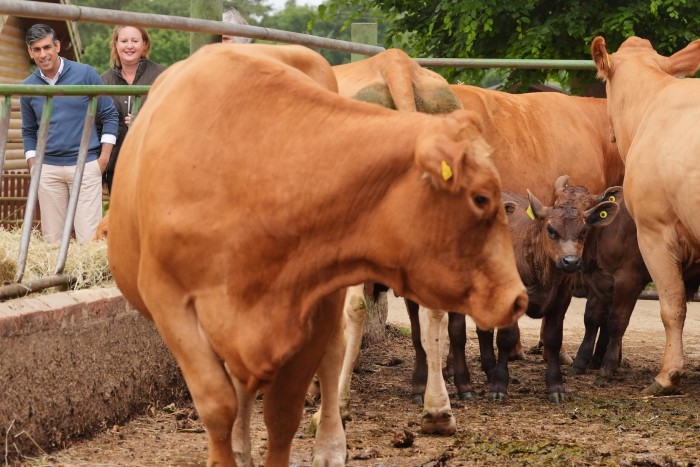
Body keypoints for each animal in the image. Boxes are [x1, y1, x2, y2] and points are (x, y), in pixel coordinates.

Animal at [108, 44, 524, 467]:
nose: (514, 297)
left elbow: (278, 406)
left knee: (344, 334)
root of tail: (396, 63)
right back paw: (435, 411)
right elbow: (221, 398)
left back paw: (334, 425)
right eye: (481, 198)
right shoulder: (173, 303)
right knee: (427, 314)